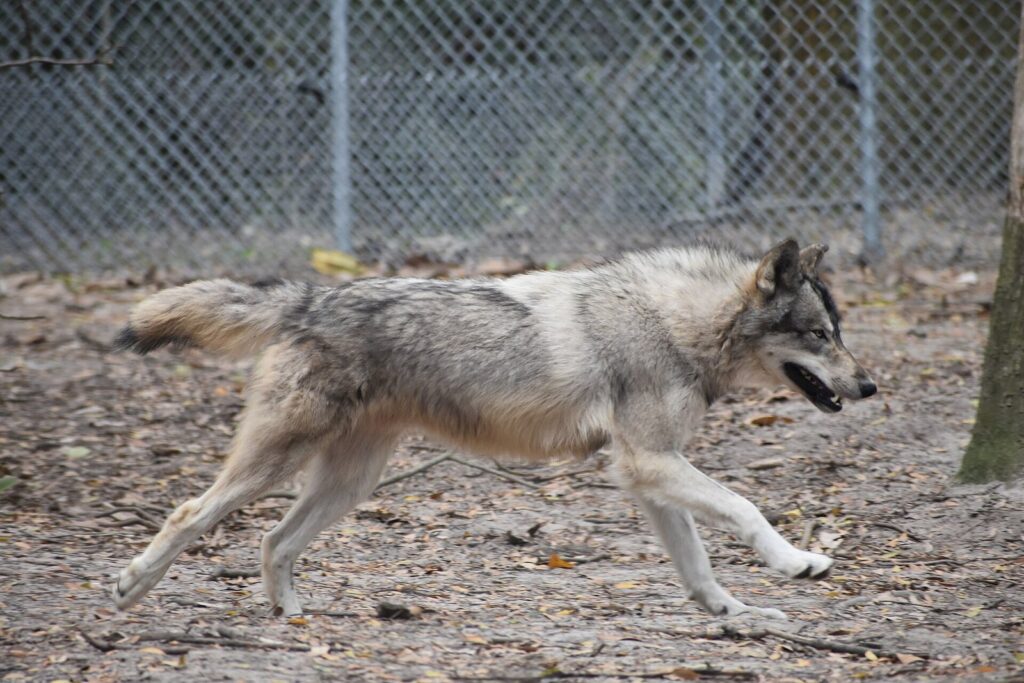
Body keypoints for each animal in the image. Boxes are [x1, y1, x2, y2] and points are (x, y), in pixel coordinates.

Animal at [110, 238, 876, 619]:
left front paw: (730, 610)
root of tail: (308, 297)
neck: (673, 322)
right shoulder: (650, 463)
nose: (869, 385)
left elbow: (697, 563)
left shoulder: (648, 476)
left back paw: (292, 616)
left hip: (350, 482)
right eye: (818, 335)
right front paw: (796, 562)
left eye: (839, 333)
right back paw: (130, 589)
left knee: (274, 540)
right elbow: (745, 508)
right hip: (276, 464)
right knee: (189, 511)